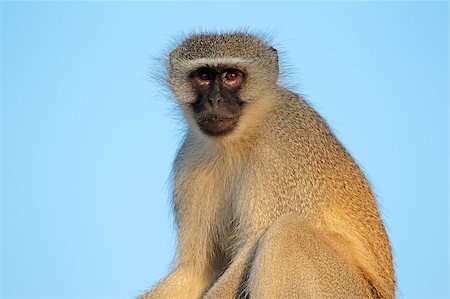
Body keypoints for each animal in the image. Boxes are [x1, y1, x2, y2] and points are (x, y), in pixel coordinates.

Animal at [141, 32, 394, 299]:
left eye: (232, 76)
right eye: (204, 76)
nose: (214, 100)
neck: (238, 141)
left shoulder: (280, 156)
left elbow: (252, 247)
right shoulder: (189, 157)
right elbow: (195, 270)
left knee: (286, 234)